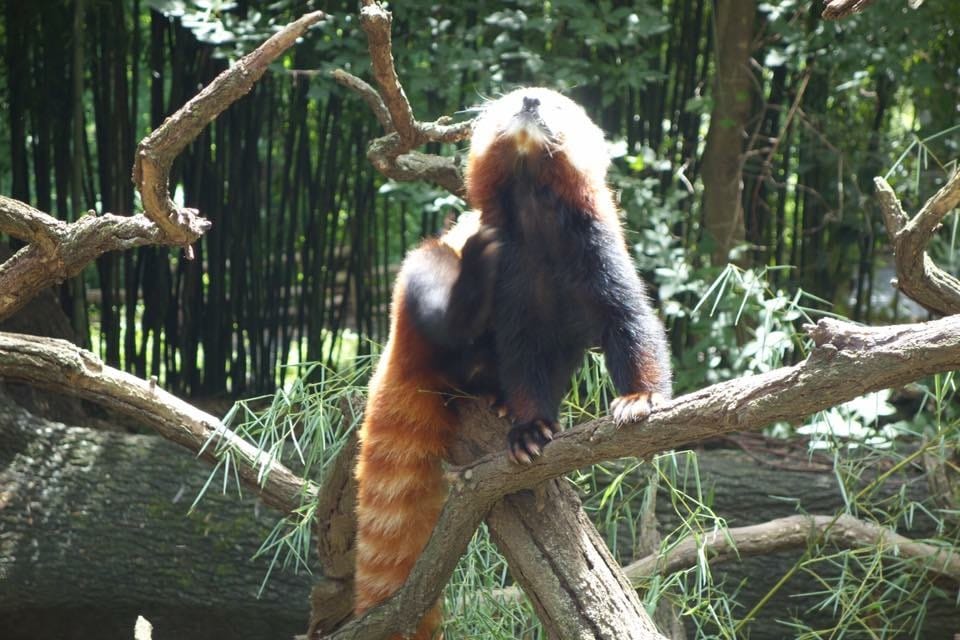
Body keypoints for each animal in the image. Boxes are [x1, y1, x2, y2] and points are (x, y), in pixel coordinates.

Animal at [464, 87, 672, 464]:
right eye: (513, 96)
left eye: (558, 105)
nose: (530, 100)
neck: (533, 203)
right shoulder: (510, 273)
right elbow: (521, 351)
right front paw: (530, 427)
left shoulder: (596, 250)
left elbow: (630, 321)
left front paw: (640, 397)